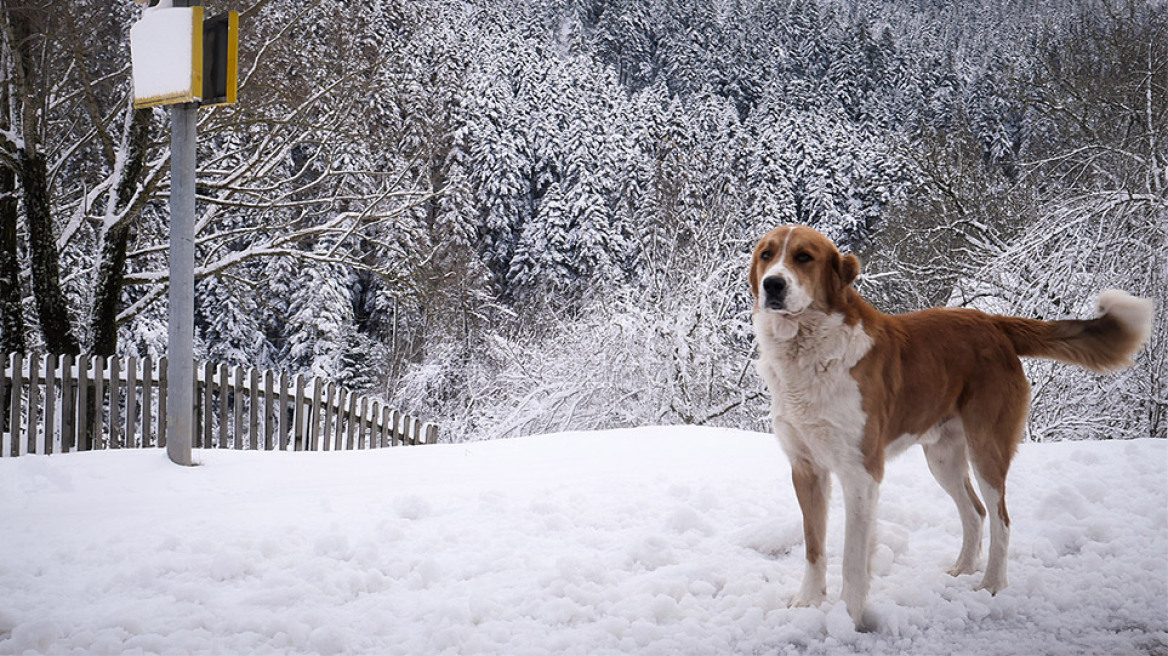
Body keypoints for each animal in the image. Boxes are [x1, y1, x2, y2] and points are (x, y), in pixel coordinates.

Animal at [747, 222, 1149, 620]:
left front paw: (848, 618)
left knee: (1001, 518)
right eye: (767, 255)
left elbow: (852, 559)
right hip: (942, 457)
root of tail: (992, 322)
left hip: (986, 448)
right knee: (975, 511)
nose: (773, 284)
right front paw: (808, 603)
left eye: (804, 257)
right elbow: (814, 546)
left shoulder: (860, 472)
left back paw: (991, 583)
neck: (808, 350)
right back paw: (964, 568)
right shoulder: (806, 468)